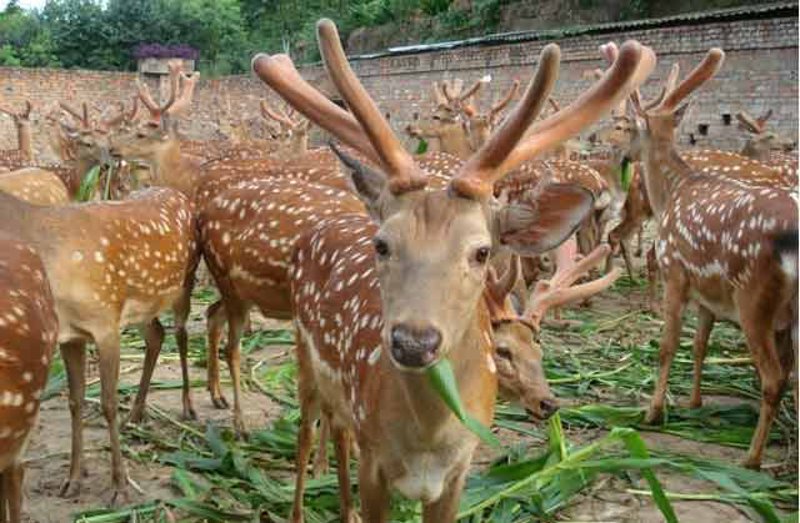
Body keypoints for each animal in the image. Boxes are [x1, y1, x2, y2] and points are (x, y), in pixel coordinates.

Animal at [253, 17, 654, 521]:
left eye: (482, 252)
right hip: (306, 357)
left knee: (338, 429)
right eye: (382, 244)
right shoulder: (374, 459)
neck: (428, 442)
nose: (413, 341)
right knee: (308, 430)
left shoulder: (460, 469)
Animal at [610, 42, 797, 469]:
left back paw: (751, 459)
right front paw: (694, 401)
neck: (672, 193)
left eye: (632, 127)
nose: (622, 156)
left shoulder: (677, 274)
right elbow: (699, 345)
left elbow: (668, 346)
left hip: (754, 301)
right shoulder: (708, 296)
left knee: (774, 377)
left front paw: (654, 411)